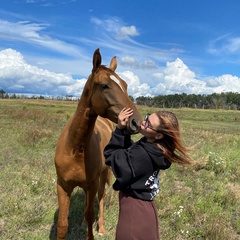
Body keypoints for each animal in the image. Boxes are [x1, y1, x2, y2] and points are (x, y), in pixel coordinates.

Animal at [54, 49, 142, 240]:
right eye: (104, 85)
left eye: (125, 85)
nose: (136, 122)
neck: (75, 149)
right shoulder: (62, 185)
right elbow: (63, 224)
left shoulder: (93, 183)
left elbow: (90, 214)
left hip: (102, 175)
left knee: (100, 198)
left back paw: (100, 227)